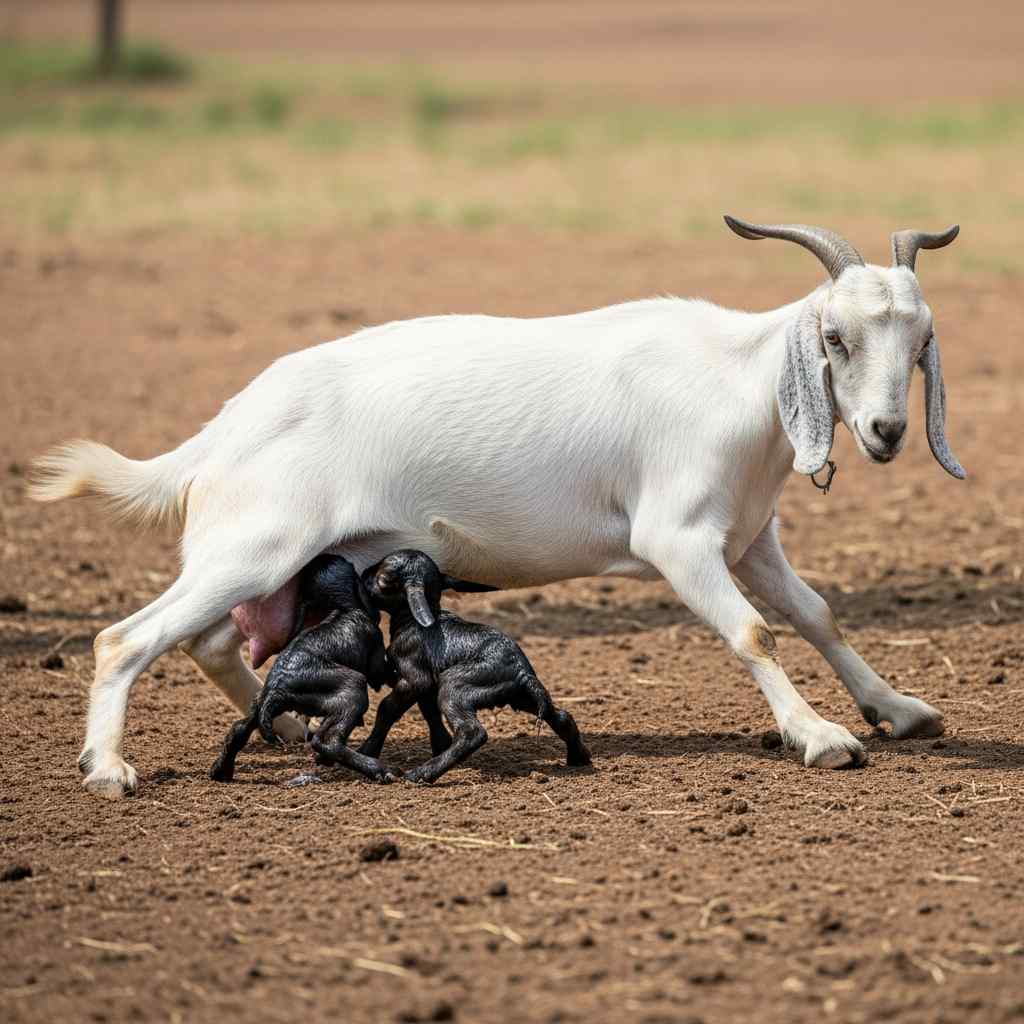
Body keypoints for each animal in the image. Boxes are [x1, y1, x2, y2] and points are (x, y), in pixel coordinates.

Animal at [209, 555, 397, 784]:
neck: (341, 607)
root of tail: (275, 692)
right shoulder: (375, 651)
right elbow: (382, 671)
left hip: (259, 704)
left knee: (238, 730)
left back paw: (221, 771)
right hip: (353, 686)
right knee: (327, 742)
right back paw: (378, 769)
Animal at [357, 549, 590, 782]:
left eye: (384, 578)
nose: (363, 575)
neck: (413, 621)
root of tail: (521, 671)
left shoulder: (415, 678)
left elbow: (387, 709)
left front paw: (368, 750)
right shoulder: (429, 683)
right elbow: (429, 711)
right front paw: (440, 745)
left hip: (456, 685)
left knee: (472, 732)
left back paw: (422, 774)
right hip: (521, 696)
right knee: (561, 716)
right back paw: (579, 758)